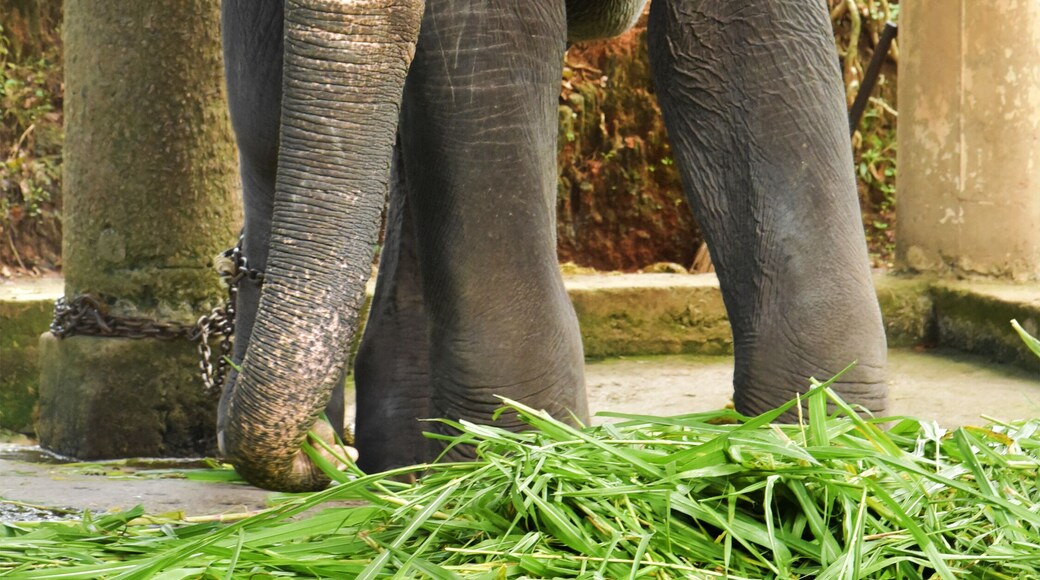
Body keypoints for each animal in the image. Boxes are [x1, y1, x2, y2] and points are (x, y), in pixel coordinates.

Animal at [217, 0, 888, 492]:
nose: (319, 451)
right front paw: (518, 466)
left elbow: (738, 36)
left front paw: (826, 454)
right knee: (265, 120)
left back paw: (399, 461)